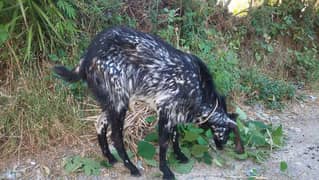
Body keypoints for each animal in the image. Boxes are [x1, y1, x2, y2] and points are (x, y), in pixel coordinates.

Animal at [55, 26, 245, 179]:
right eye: (227, 134)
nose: (221, 146)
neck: (200, 88)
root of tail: (87, 56)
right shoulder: (166, 111)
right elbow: (164, 144)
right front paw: (166, 171)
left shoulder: (174, 113)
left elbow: (175, 136)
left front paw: (180, 156)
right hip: (119, 103)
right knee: (116, 136)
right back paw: (131, 167)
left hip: (110, 102)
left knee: (99, 122)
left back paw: (109, 157)